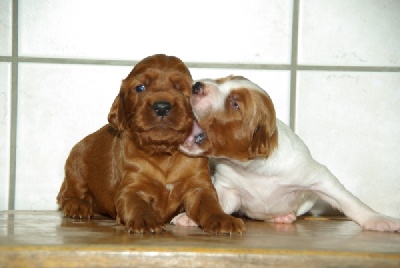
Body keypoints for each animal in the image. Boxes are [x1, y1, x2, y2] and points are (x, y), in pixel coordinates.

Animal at [55, 55, 244, 234]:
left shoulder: (198, 186)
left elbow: (210, 204)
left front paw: (222, 218)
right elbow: (137, 204)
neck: (163, 153)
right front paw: (146, 220)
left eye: (179, 87)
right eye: (140, 88)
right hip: (76, 162)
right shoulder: (130, 188)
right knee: (67, 193)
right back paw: (77, 205)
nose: (162, 107)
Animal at [174, 74, 400, 231]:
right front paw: (190, 217)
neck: (251, 169)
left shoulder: (318, 177)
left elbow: (349, 201)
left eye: (235, 103)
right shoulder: (227, 188)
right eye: (221, 79)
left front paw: (379, 220)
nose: (196, 85)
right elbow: (216, 202)